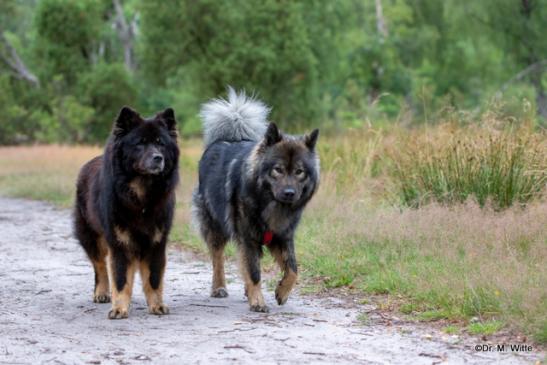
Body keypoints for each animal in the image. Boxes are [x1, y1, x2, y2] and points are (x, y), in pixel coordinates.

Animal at [73, 106, 179, 318]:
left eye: (160, 144)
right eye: (140, 143)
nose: (158, 158)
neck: (141, 196)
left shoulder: (156, 242)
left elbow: (154, 278)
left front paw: (157, 306)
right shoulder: (120, 243)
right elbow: (121, 279)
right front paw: (119, 308)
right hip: (90, 236)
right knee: (100, 266)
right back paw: (102, 293)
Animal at [194, 87, 318, 310]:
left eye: (299, 172)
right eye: (278, 169)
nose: (289, 193)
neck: (270, 204)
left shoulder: (282, 236)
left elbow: (293, 269)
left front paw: (282, 292)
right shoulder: (248, 237)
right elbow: (253, 272)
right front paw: (258, 301)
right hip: (214, 225)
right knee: (218, 258)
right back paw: (219, 287)